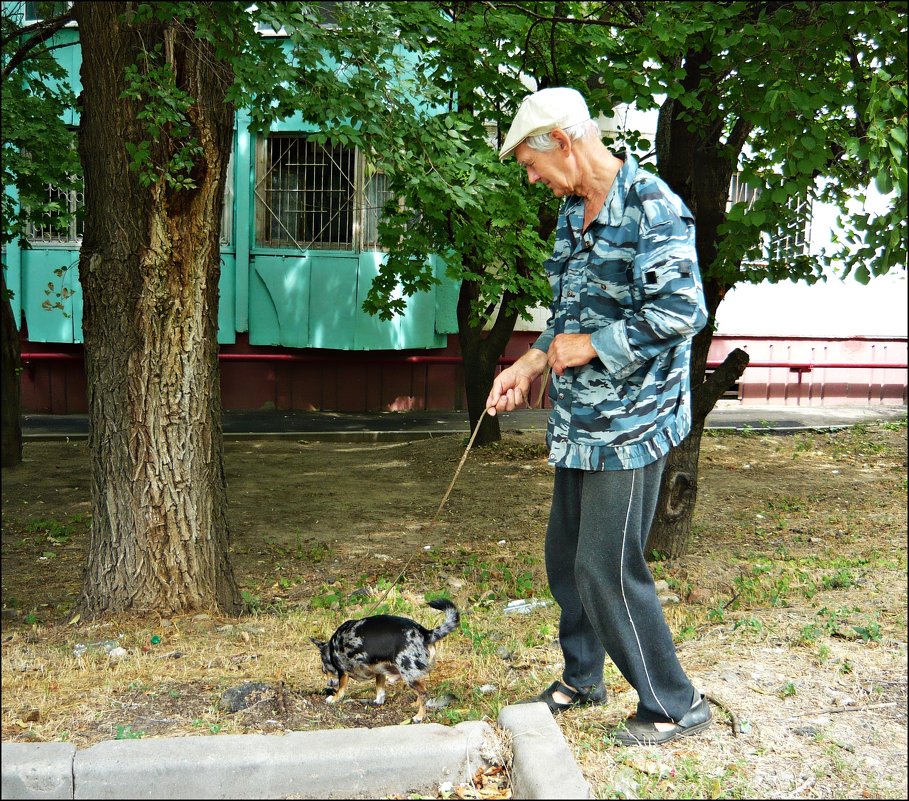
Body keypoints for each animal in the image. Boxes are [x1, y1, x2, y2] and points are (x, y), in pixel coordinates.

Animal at [312, 596, 458, 720]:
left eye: (324, 670)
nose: (328, 684)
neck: (332, 647)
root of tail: (425, 633)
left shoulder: (343, 672)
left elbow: (341, 689)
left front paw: (334, 698)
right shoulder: (380, 670)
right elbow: (380, 689)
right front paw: (378, 700)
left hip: (408, 675)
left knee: (424, 694)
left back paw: (420, 716)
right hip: (414, 675)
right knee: (422, 691)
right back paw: (416, 704)